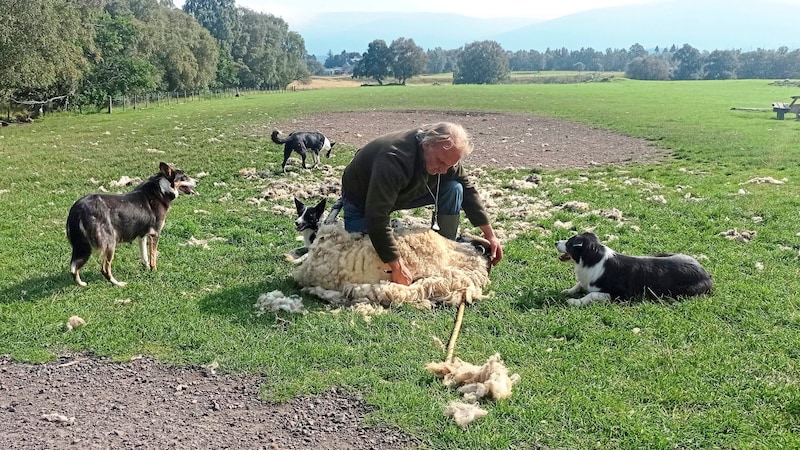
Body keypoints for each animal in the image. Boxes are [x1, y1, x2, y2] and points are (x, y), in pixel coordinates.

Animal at [65, 163, 197, 286]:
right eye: (184, 177)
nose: (197, 181)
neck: (161, 189)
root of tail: (79, 208)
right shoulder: (155, 234)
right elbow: (153, 257)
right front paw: (154, 271)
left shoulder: (142, 235)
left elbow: (145, 256)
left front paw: (147, 269)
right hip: (109, 243)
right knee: (104, 269)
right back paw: (118, 284)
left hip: (82, 245)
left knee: (73, 268)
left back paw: (81, 284)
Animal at [556, 232, 712, 306]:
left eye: (569, 243)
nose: (556, 242)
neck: (593, 260)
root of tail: (706, 273)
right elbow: (579, 284)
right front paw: (568, 291)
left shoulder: (620, 294)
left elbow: (592, 294)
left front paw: (574, 302)